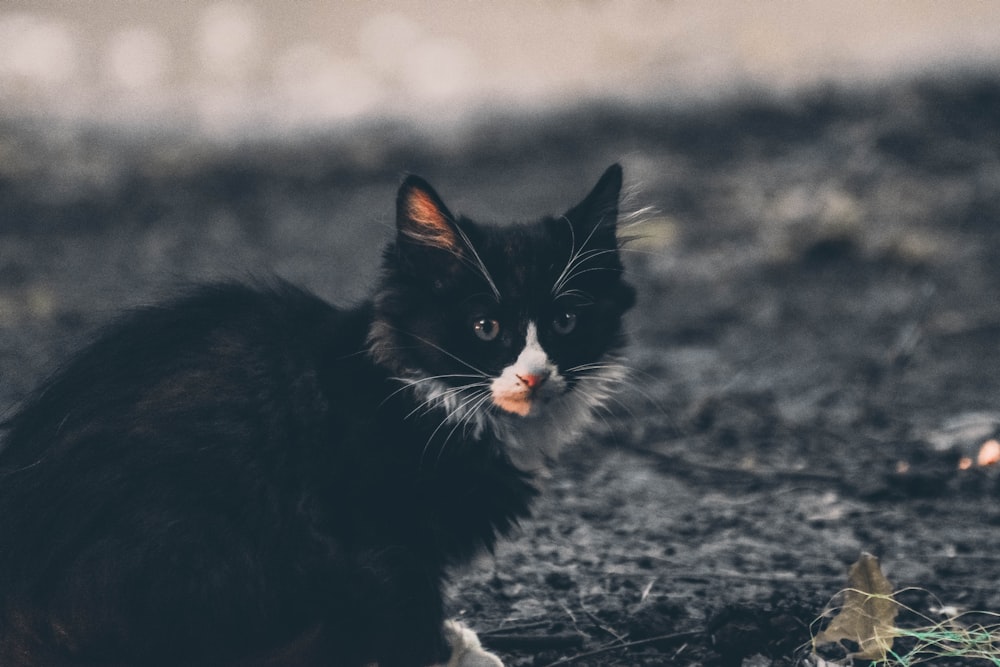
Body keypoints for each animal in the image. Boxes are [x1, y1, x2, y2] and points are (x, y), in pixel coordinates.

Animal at [0, 163, 636, 667]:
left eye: (566, 323)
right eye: (485, 327)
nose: (534, 375)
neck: (425, 394)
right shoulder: (379, 535)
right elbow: (411, 617)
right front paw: (446, 653)